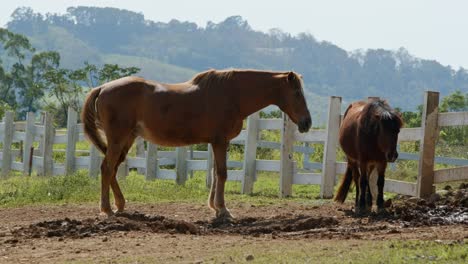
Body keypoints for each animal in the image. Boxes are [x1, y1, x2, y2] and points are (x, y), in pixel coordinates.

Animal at [82, 69, 312, 218]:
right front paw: (222, 210)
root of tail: (102, 88)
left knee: (112, 169)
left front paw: (214, 207)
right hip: (118, 139)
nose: (307, 122)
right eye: (296, 93)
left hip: (126, 139)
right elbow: (222, 173)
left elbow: (214, 173)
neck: (232, 94)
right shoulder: (220, 141)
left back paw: (119, 205)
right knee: (107, 168)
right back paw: (107, 210)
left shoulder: (217, 142)